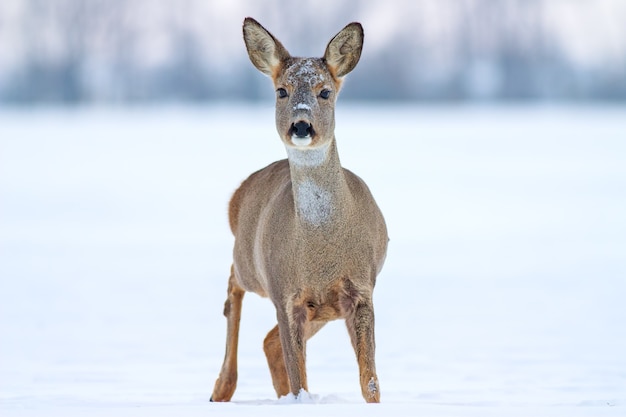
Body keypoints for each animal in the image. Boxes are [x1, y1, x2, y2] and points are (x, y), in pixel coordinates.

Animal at [210, 17, 386, 404]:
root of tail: (238, 195)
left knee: (269, 342)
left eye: (325, 92)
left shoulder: (361, 288)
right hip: (252, 264)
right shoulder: (284, 293)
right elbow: (299, 379)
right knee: (232, 285)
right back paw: (221, 388)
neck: (322, 253)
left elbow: (369, 381)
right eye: (281, 91)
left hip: (321, 311)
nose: (302, 125)